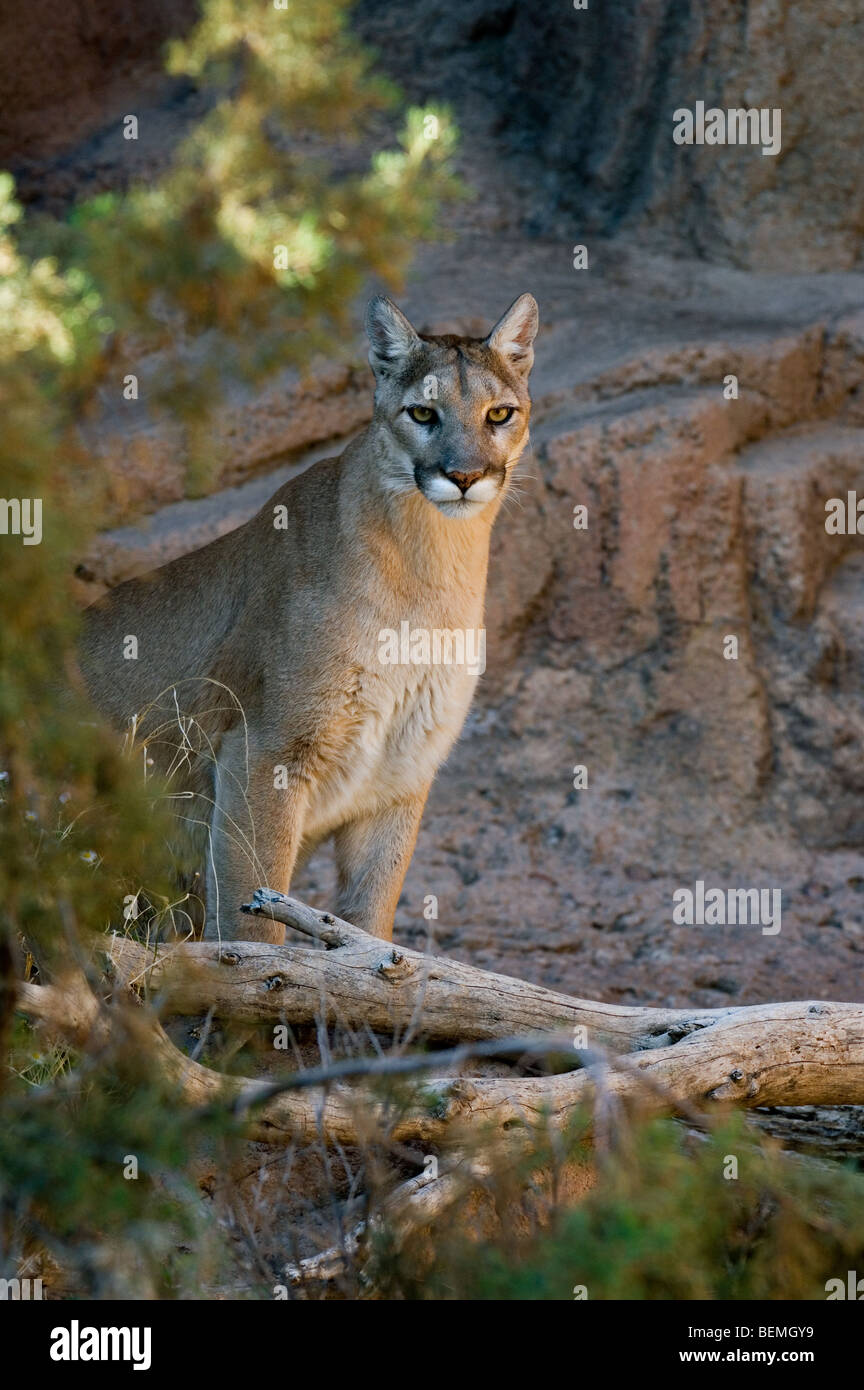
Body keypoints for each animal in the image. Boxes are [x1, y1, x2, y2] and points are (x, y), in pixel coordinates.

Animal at [81, 293, 541, 945]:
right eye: (422, 413)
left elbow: (368, 920)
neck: (430, 565)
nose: (465, 476)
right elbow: (253, 919)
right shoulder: (265, 750)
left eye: (499, 413)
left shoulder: (399, 775)